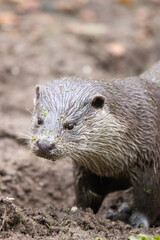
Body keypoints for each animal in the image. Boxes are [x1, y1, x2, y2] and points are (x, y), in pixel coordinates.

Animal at [30, 61, 160, 228]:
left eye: (70, 125)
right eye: (39, 120)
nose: (45, 145)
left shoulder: (150, 163)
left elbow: (148, 200)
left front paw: (138, 223)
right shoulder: (87, 170)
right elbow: (85, 196)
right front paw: (78, 213)